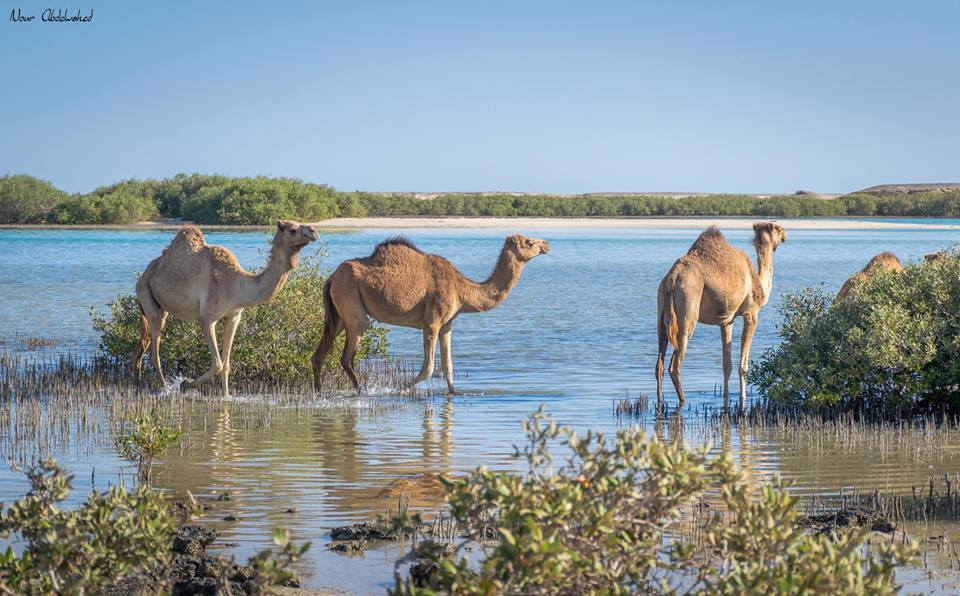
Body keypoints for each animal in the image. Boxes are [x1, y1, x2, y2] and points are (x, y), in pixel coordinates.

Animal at [316, 235, 552, 394]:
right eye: (529, 242)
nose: (546, 244)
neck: (461, 289)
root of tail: (332, 277)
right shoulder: (432, 322)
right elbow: (428, 368)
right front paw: (401, 389)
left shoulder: (447, 325)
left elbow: (448, 366)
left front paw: (454, 395)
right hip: (352, 304)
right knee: (347, 355)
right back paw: (361, 390)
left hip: (337, 315)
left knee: (319, 353)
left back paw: (319, 390)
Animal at [652, 224, 788, 410]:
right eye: (779, 229)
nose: (786, 237)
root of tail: (672, 278)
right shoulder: (751, 314)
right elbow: (743, 365)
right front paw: (742, 399)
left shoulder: (726, 321)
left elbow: (726, 364)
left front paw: (725, 396)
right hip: (688, 311)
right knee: (675, 365)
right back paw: (683, 401)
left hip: (661, 313)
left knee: (659, 364)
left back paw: (660, 402)